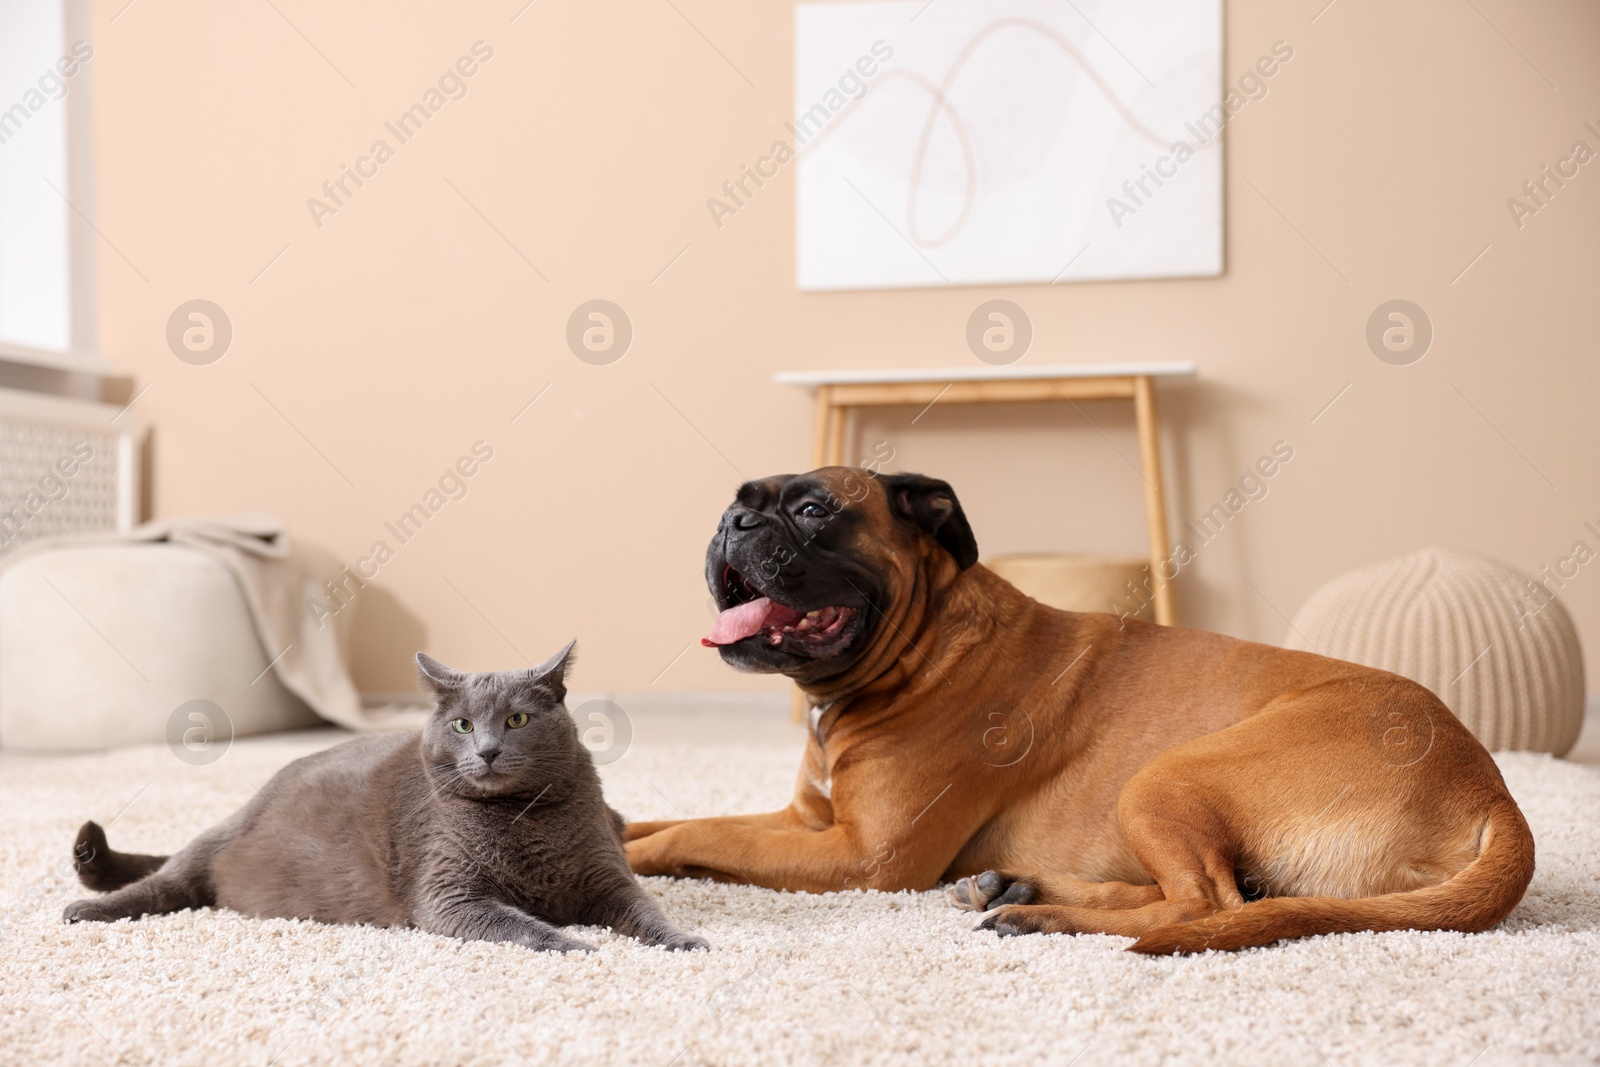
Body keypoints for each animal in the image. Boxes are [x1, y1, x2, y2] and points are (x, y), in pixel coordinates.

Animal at [64, 639, 707, 953]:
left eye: (517, 719)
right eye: (463, 725)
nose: (488, 750)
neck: (521, 820)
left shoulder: (606, 873)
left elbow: (644, 908)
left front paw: (683, 940)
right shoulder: (448, 892)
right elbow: (519, 924)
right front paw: (576, 945)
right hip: (214, 840)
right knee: (165, 882)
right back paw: (83, 911)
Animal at [617, 467, 1529, 953]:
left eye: (812, 510)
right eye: (737, 501)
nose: (733, 521)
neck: (920, 645)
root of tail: (1489, 788)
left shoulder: (861, 856)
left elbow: (697, 834)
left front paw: (634, 856)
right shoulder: (808, 820)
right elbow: (681, 815)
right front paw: (618, 823)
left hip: (1163, 777)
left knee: (1208, 903)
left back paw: (1038, 911)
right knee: (1203, 893)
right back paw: (1017, 885)